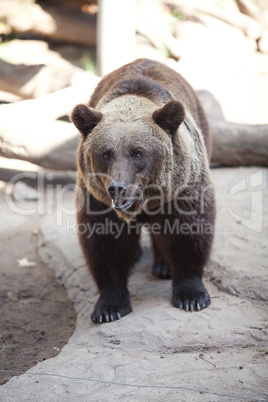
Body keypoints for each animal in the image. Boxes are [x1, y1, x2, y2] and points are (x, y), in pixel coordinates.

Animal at [69, 58, 216, 324]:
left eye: (138, 153)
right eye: (106, 153)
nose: (117, 188)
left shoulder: (183, 188)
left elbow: (190, 231)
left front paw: (191, 296)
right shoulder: (97, 199)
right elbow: (105, 244)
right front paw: (109, 307)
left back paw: (163, 265)